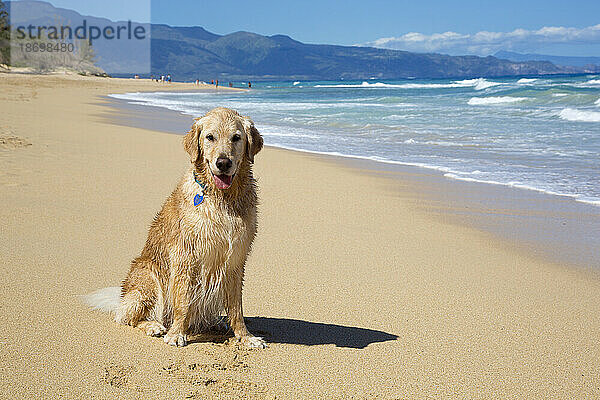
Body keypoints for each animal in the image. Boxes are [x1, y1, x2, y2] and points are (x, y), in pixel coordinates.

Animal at [85, 106, 264, 346]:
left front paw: (245, 337)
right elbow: (183, 301)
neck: (222, 199)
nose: (223, 163)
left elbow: (236, 308)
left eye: (236, 137)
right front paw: (177, 333)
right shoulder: (185, 256)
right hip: (148, 277)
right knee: (127, 317)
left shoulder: (235, 259)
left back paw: (215, 322)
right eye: (210, 137)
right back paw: (154, 326)